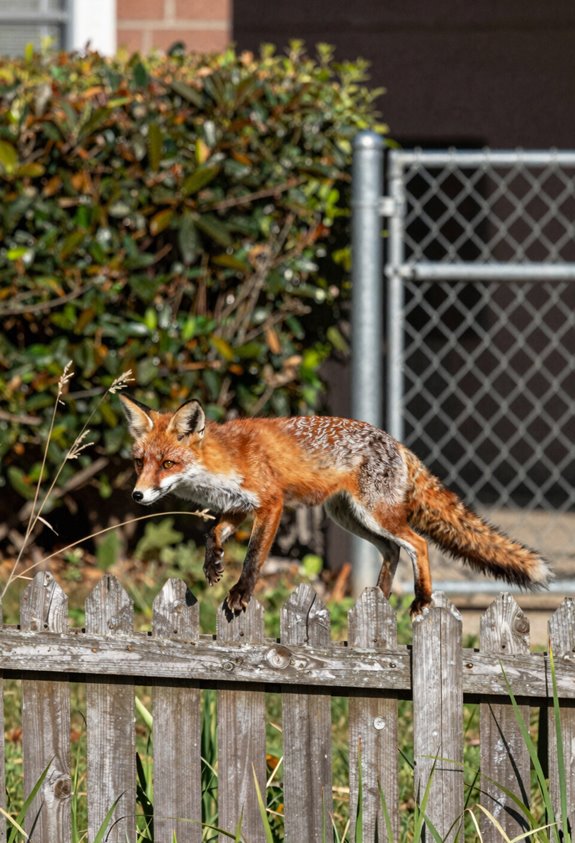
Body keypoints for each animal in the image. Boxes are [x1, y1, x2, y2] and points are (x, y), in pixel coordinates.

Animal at [119, 394, 551, 615]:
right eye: (140, 462)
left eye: (168, 464)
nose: (137, 495)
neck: (222, 461)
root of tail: (398, 443)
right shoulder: (239, 505)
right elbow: (213, 531)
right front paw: (212, 566)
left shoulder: (271, 504)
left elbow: (254, 557)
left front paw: (240, 592)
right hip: (350, 517)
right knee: (393, 550)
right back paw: (379, 599)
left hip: (375, 514)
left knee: (418, 543)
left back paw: (422, 599)